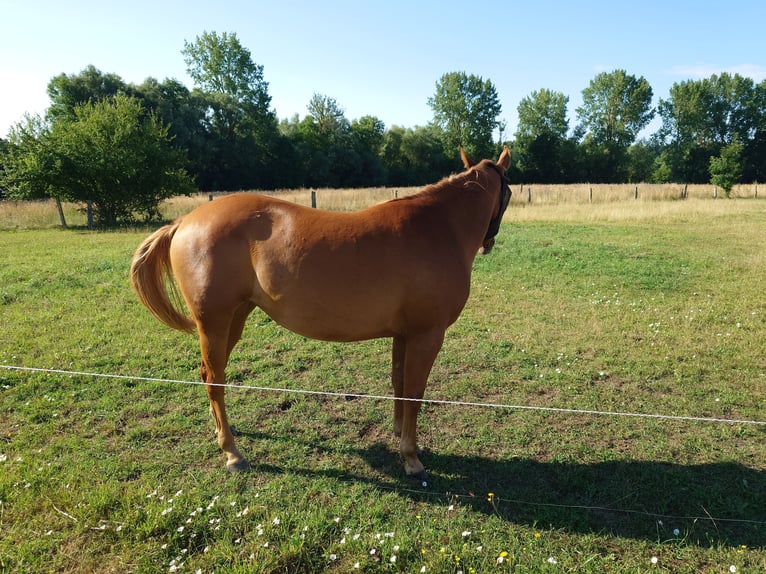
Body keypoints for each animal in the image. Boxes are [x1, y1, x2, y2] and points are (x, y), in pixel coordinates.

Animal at [130, 147, 512, 479]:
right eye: (507, 194)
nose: (489, 243)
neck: (439, 227)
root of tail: (184, 221)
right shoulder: (426, 336)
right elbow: (415, 393)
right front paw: (411, 458)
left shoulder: (404, 335)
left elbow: (400, 384)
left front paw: (400, 436)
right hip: (214, 323)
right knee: (214, 380)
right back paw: (232, 452)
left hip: (233, 320)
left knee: (210, 376)